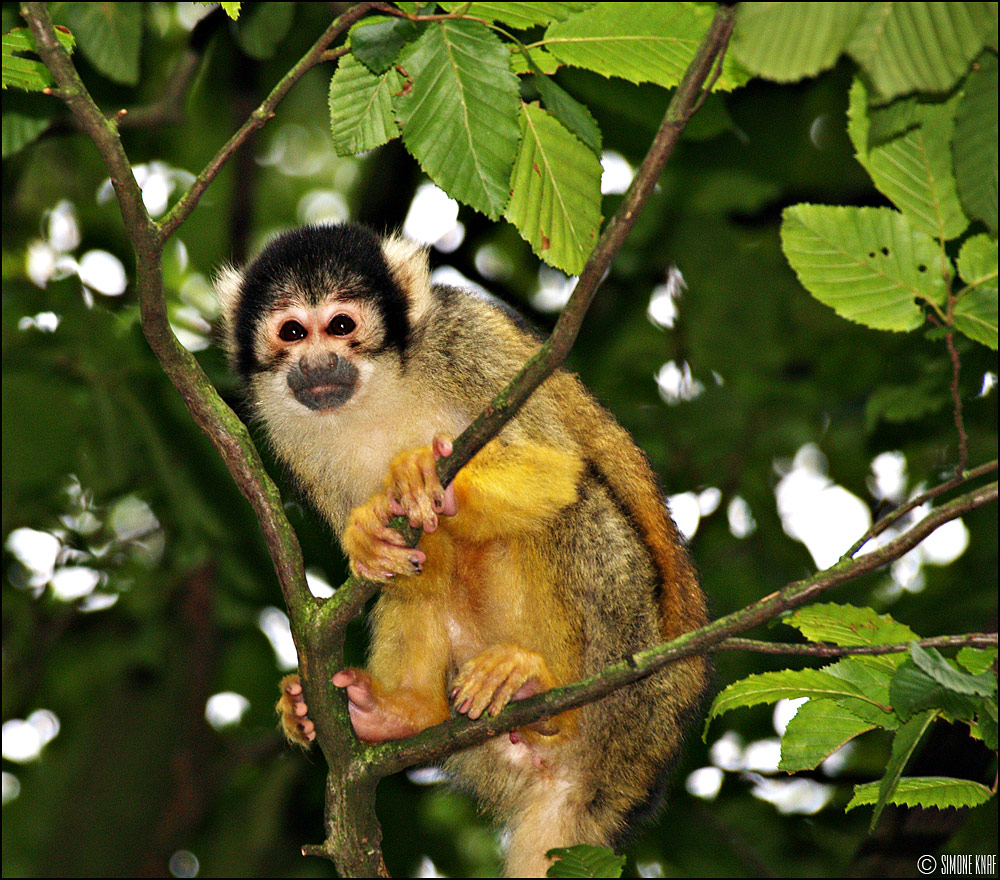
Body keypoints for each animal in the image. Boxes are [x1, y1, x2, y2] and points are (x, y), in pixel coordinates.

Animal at [217, 223, 712, 876]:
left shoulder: (468, 343)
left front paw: (424, 474)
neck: (383, 386)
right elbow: (392, 558)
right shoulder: (288, 429)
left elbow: (556, 467)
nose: (318, 363)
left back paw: (542, 689)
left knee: (577, 504)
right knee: (427, 562)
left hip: (634, 698)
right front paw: (365, 532)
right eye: (292, 332)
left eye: (342, 325)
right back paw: (399, 713)